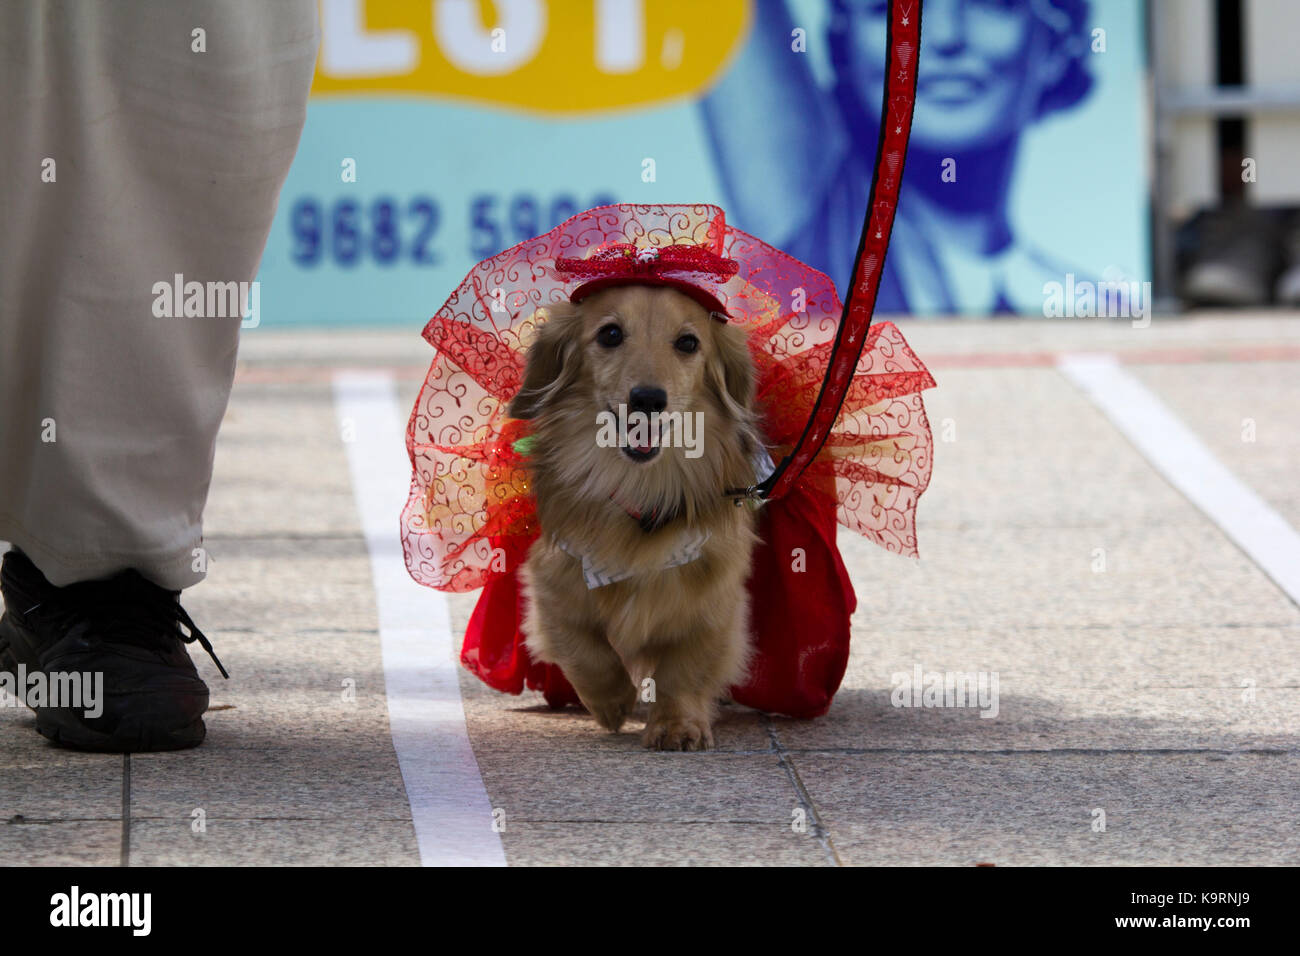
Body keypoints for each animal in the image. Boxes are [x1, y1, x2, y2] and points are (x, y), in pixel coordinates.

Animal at [509, 283, 759, 749]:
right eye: (610, 334)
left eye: (688, 343)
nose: (648, 399)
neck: (640, 486)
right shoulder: (551, 582)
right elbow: (582, 647)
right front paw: (612, 701)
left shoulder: (714, 599)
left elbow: (685, 668)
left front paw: (676, 725)